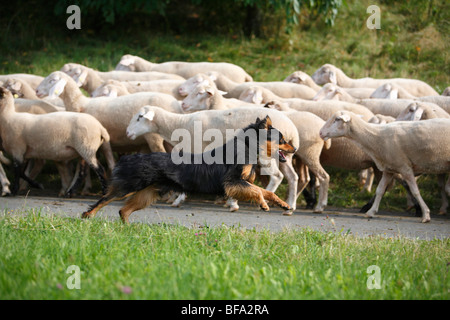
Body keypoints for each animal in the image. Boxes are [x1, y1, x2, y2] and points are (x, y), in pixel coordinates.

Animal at [82, 115, 298, 222]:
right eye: (282, 140)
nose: (295, 148)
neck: (246, 146)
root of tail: (130, 157)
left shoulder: (240, 183)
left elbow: (267, 192)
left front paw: (284, 205)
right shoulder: (233, 182)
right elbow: (258, 192)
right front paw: (263, 205)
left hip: (147, 194)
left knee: (123, 211)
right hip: (128, 187)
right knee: (104, 200)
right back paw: (87, 218)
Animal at [320, 110, 450, 222]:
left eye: (337, 119)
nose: (320, 133)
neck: (377, 137)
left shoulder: (405, 167)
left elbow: (415, 191)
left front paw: (426, 215)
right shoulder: (389, 169)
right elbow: (380, 190)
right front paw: (371, 212)